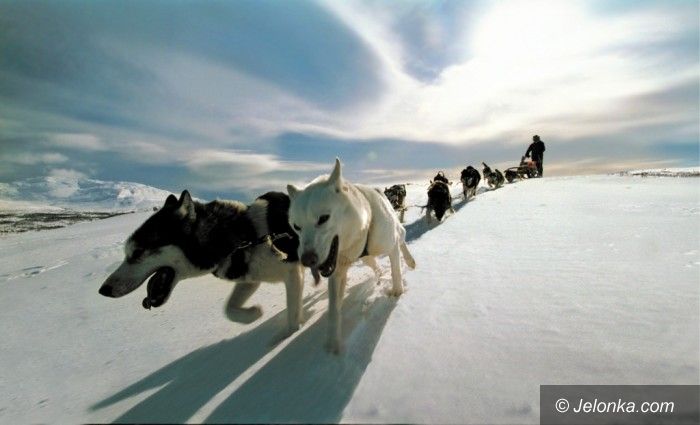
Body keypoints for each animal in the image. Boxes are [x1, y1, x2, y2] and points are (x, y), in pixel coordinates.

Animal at [98, 190, 306, 338]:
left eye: (138, 252)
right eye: (127, 252)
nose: (103, 290)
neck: (242, 235)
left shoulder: (292, 273)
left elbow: (292, 317)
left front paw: (289, 335)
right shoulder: (250, 280)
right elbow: (228, 309)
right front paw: (252, 314)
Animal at [286, 159, 416, 353]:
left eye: (323, 218)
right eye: (296, 227)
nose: (307, 260)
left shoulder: (391, 247)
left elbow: (396, 272)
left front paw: (397, 292)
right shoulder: (336, 271)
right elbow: (333, 308)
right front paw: (333, 343)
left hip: (394, 234)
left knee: (402, 236)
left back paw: (409, 260)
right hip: (366, 258)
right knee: (375, 266)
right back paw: (378, 276)